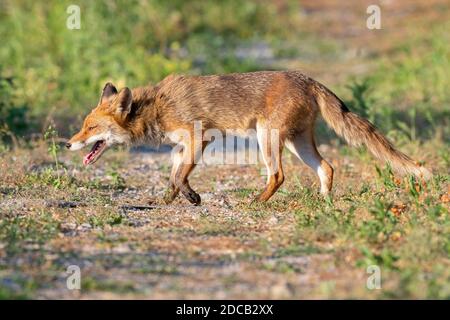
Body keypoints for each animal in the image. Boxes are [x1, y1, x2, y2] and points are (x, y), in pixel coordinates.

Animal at [67, 70, 432, 205]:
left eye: (90, 128)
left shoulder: (199, 138)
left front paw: (192, 198)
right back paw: (324, 202)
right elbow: (173, 175)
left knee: (279, 175)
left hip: (267, 139)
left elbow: (181, 175)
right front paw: (168, 200)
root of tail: (308, 78)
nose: (67, 143)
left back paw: (257, 202)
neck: (158, 106)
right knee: (326, 167)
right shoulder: (182, 145)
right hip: (297, 143)